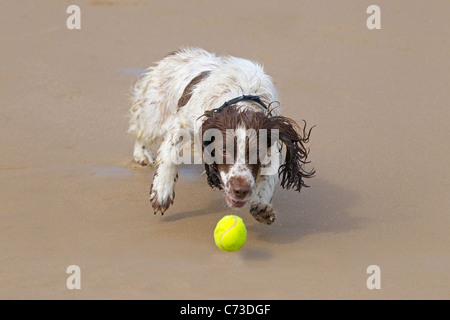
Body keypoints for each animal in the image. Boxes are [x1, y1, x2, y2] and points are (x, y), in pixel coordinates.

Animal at [128, 47, 314, 224]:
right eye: (224, 151)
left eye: (257, 153)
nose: (241, 190)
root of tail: (176, 53)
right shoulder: (183, 124)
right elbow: (169, 154)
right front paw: (161, 192)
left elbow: (269, 174)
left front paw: (262, 204)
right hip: (154, 115)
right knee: (142, 133)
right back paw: (142, 155)